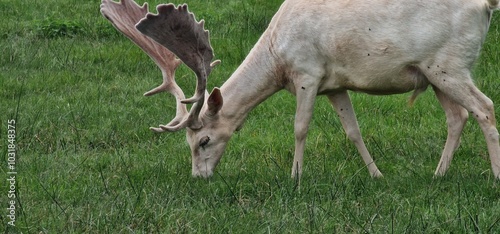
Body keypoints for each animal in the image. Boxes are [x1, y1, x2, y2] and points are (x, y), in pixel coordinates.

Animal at [101, 0, 500, 181]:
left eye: (203, 141)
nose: (199, 177)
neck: (278, 59)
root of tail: (485, 6)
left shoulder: (308, 72)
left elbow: (300, 127)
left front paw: (295, 177)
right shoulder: (335, 85)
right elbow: (353, 130)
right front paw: (377, 175)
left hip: (451, 65)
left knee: (485, 107)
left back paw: (494, 176)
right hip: (434, 73)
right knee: (458, 116)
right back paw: (438, 175)